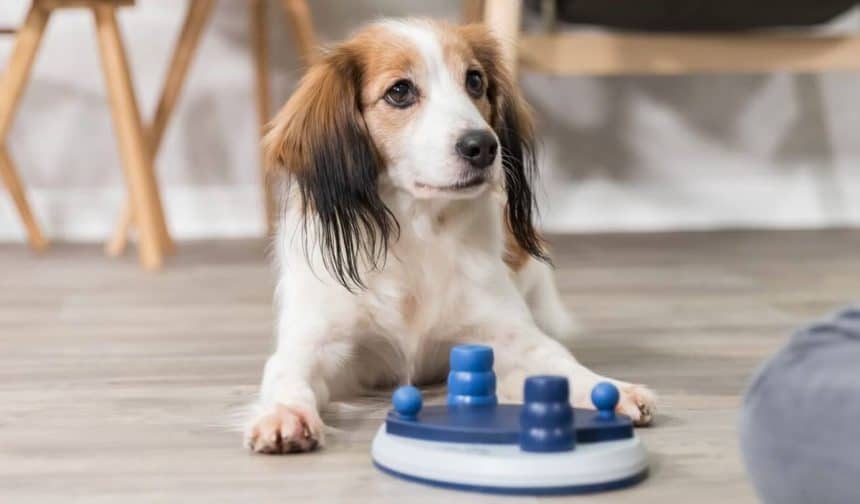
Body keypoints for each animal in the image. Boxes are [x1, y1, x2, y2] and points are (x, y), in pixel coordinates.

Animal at [245, 18, 656, 452]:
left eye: (474, 80)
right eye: (400, 91)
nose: (484, 146)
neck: (416, 231)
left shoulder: (508, 336)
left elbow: (558, 362)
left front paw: (611, 388)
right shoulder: (317, 343)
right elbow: (288, 374)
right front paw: (284, 414)